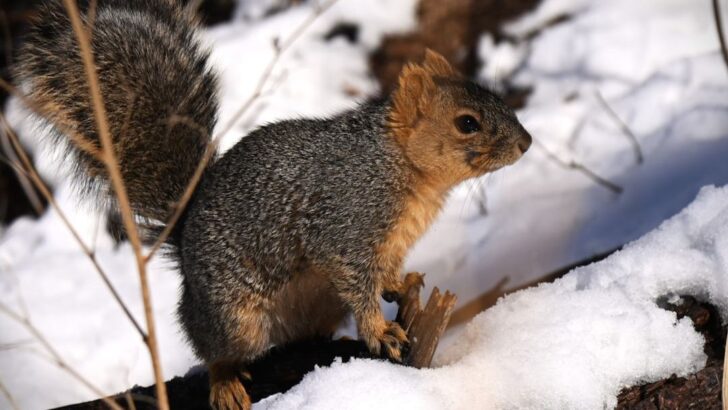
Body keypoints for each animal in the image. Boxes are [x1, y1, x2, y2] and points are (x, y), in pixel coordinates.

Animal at [15, 1, 532, 409]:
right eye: (467, 122)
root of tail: (184, 246)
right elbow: (356, 280)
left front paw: (402, 283)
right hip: (233, 314)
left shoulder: (388, 243)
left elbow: (382, 275)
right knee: (212, 348)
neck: (402, 168)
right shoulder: (345, 222)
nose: (525, 143)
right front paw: (379, 330)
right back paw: (224, 380)